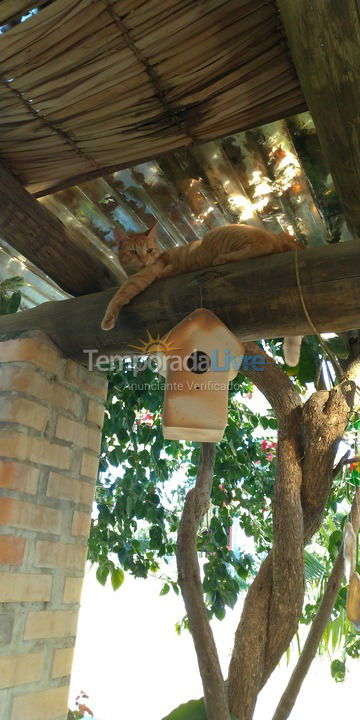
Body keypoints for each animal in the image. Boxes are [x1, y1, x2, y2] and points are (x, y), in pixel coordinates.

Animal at [104, 221, 304, 366]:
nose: (144, 260)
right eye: (133, 252)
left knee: (264, 246)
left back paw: (222, 259)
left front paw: (108, 319)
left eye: (149, 250)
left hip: (218, 236)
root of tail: (284, 238)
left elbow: (120, 294)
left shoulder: (145, 274)